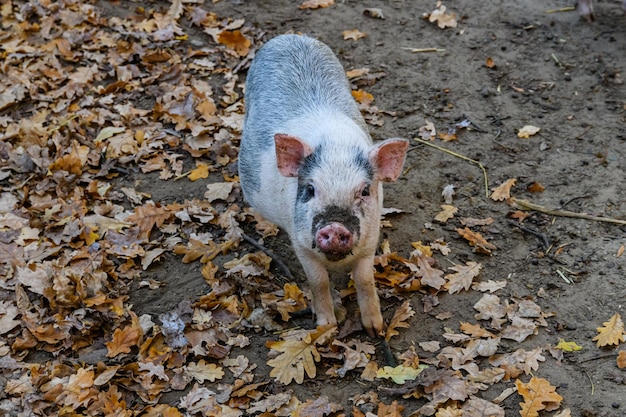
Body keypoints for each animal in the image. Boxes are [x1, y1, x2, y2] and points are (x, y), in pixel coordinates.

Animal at [236, 34, 408, 336]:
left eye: (365, 191)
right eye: (310, 189)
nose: (335, 226)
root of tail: (289, 36)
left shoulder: (370, 242)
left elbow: (365, 281)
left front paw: (376, 329)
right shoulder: (301, 244)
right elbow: (319, 282)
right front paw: (326, 328)